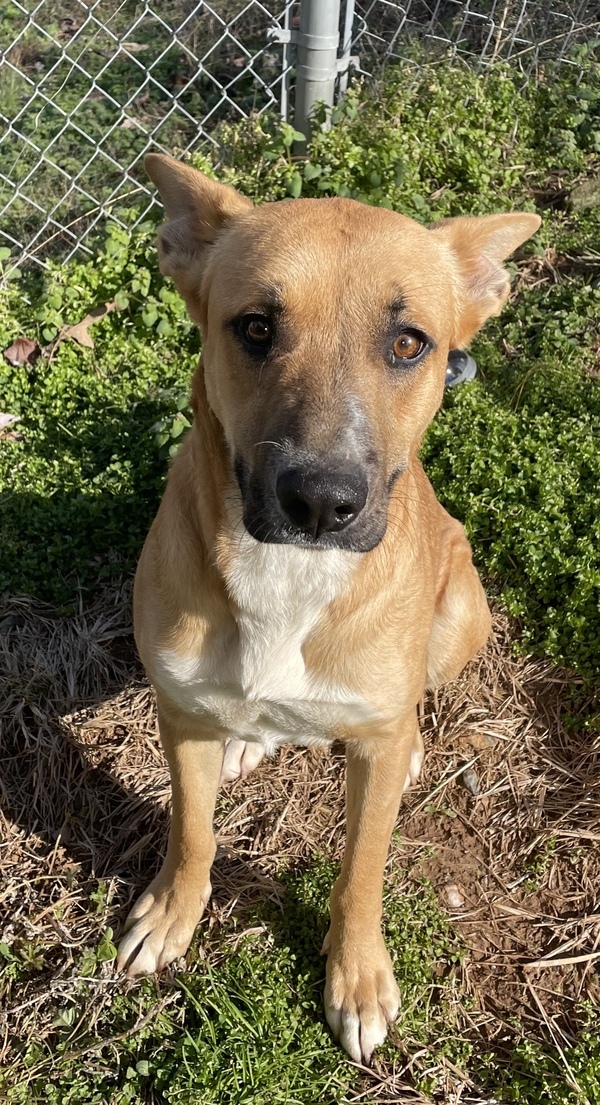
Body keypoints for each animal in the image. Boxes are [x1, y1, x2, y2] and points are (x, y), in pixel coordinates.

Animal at [116, 155, 539, 1060]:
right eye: (255, 327)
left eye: (409, 342)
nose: (320, 499)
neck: (289, 574)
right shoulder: (177, 712)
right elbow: (194, 829)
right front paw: (173, 913)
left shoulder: (369, 764)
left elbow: (361, 872)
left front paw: (358, 975)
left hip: (461, 609)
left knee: (415, 703)